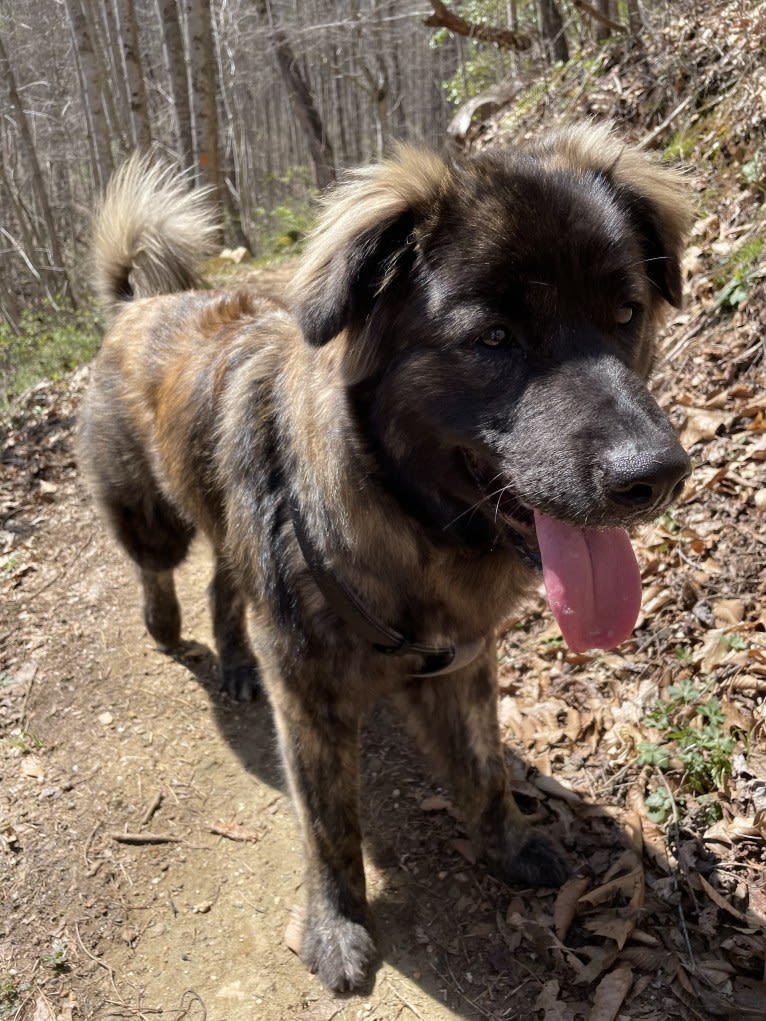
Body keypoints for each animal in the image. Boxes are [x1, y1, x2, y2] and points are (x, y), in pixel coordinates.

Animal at [79, 123, 694, 992]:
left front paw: (508, 843)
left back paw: (233, 661)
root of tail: (138, 305)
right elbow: (328, 823)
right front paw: (336, 926)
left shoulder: (464, 661)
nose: (658, 474)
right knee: (158, 566)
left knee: (228, 584)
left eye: (625, 313)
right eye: (493, 338)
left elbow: (484, 769)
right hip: (154, 517)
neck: (404, 525)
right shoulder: (309, 697)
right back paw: (164, 625)